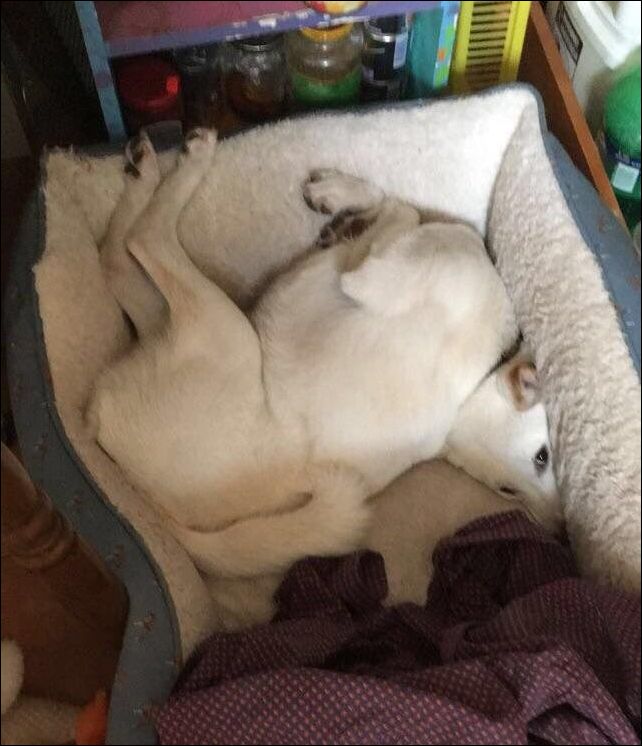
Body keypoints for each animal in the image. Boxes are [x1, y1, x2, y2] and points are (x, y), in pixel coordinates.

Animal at [88, 128, 560, 587]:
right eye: (543, 458)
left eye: (511, 487)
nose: (555, 529)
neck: (479, 382)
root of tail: (153, 502)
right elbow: (396, 206)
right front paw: (341, 201)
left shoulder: (367, 279)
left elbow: (401, 212)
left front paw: (351, 215)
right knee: (117, 258)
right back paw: (144, 172)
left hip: (223, 330)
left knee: (139, 245)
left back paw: (178, 163)